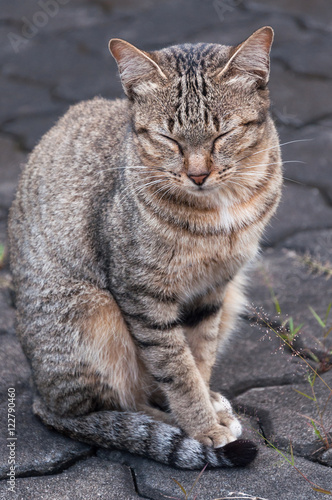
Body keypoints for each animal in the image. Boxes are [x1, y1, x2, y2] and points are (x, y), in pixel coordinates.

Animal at [9, 26, 282, 468]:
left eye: (223, 134)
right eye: (168, 138)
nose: (198, 174)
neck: (219, 209)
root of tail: (39, 395)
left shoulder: (214, 287)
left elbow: (198, 355)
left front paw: (205, 405)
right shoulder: (142, 295)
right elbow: (177, 369)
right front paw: (202, 428)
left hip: (231, 298)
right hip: (93, 312)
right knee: (110, 407)